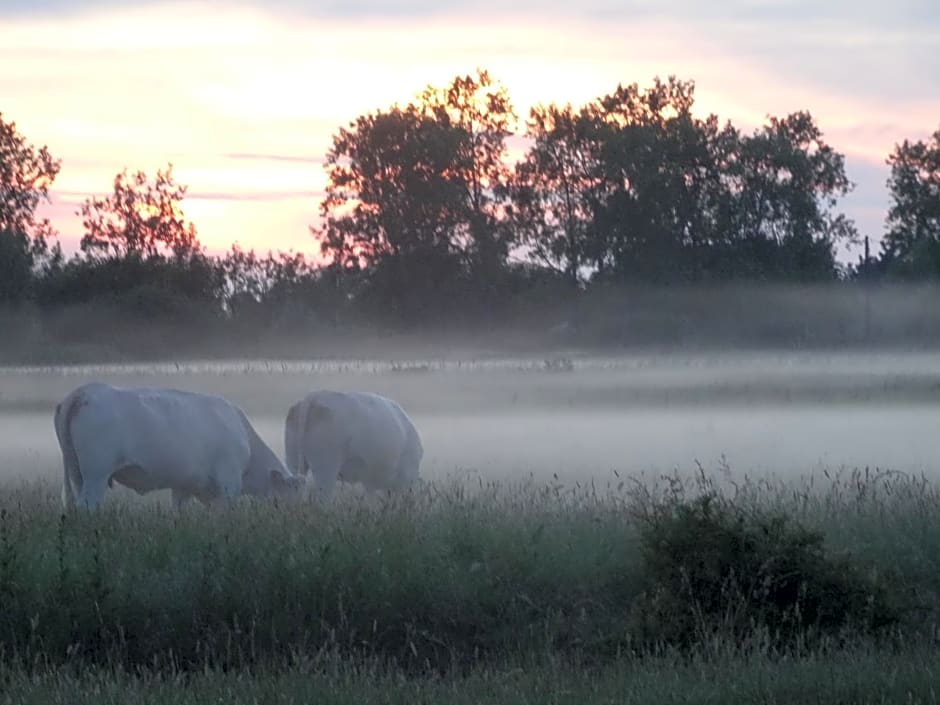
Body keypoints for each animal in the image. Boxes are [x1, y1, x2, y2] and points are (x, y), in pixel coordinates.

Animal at [53, 382, 302, 508]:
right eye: (288, 498)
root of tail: (84, 391)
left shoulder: (184, 486)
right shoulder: (228, 483)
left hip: (76, 472)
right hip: (96, 474)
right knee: (86, 505)